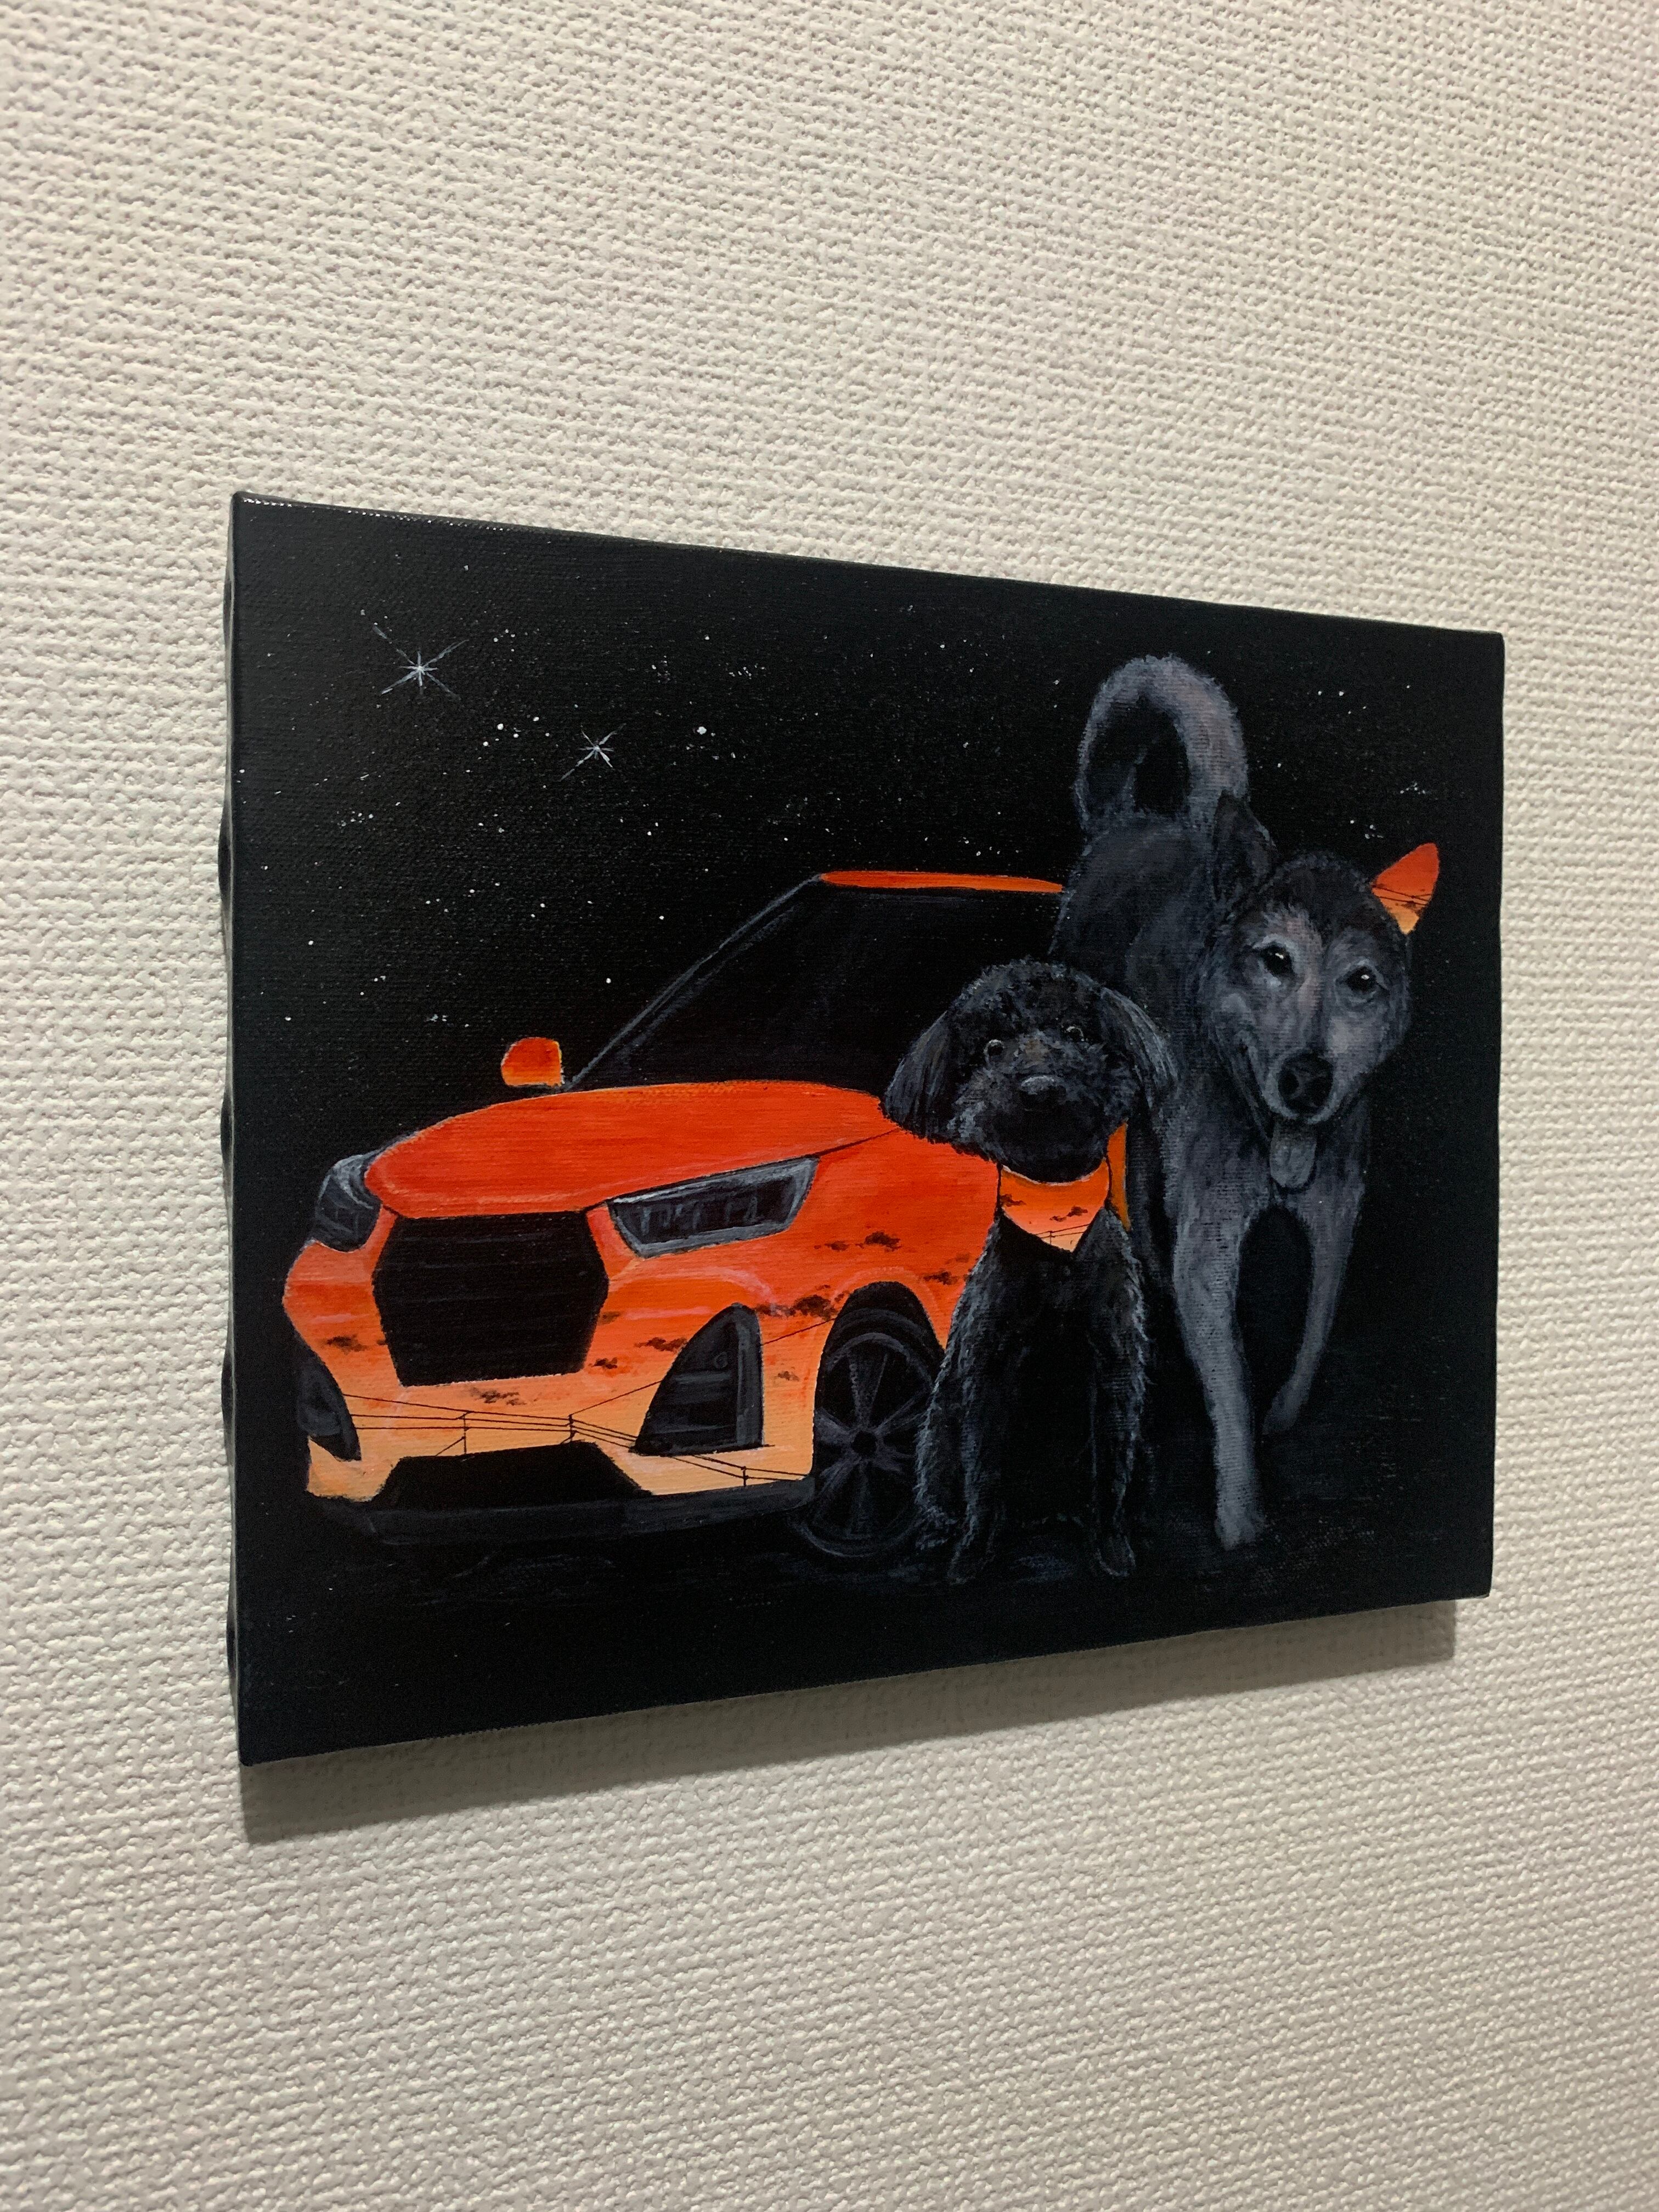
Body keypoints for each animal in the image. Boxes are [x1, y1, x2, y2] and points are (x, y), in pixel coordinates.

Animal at [882, 959, 1173, 1583]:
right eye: (993, 1048)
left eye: (1078, 1034)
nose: (1040, 1088)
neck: (1055, 1227)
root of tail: (1043, 1514)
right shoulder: (989, 1370)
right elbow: (985, 1473)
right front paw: (973, 1556)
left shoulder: (1113, 1368)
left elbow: (1108, 1471)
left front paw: (1112, 1550)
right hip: (937, 1441)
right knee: (944, 1493)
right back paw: (938, 1538)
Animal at [1051, 654, 1438, 1550]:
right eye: (1275, 961)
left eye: (1360, 982)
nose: (1306, 1079)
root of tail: (1133, 820)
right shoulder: (1213, 1249)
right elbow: (1228, 1385)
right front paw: (1241, 1517)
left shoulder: (1337, 1221)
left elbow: (1314, 1332)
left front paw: (1283, 1418)